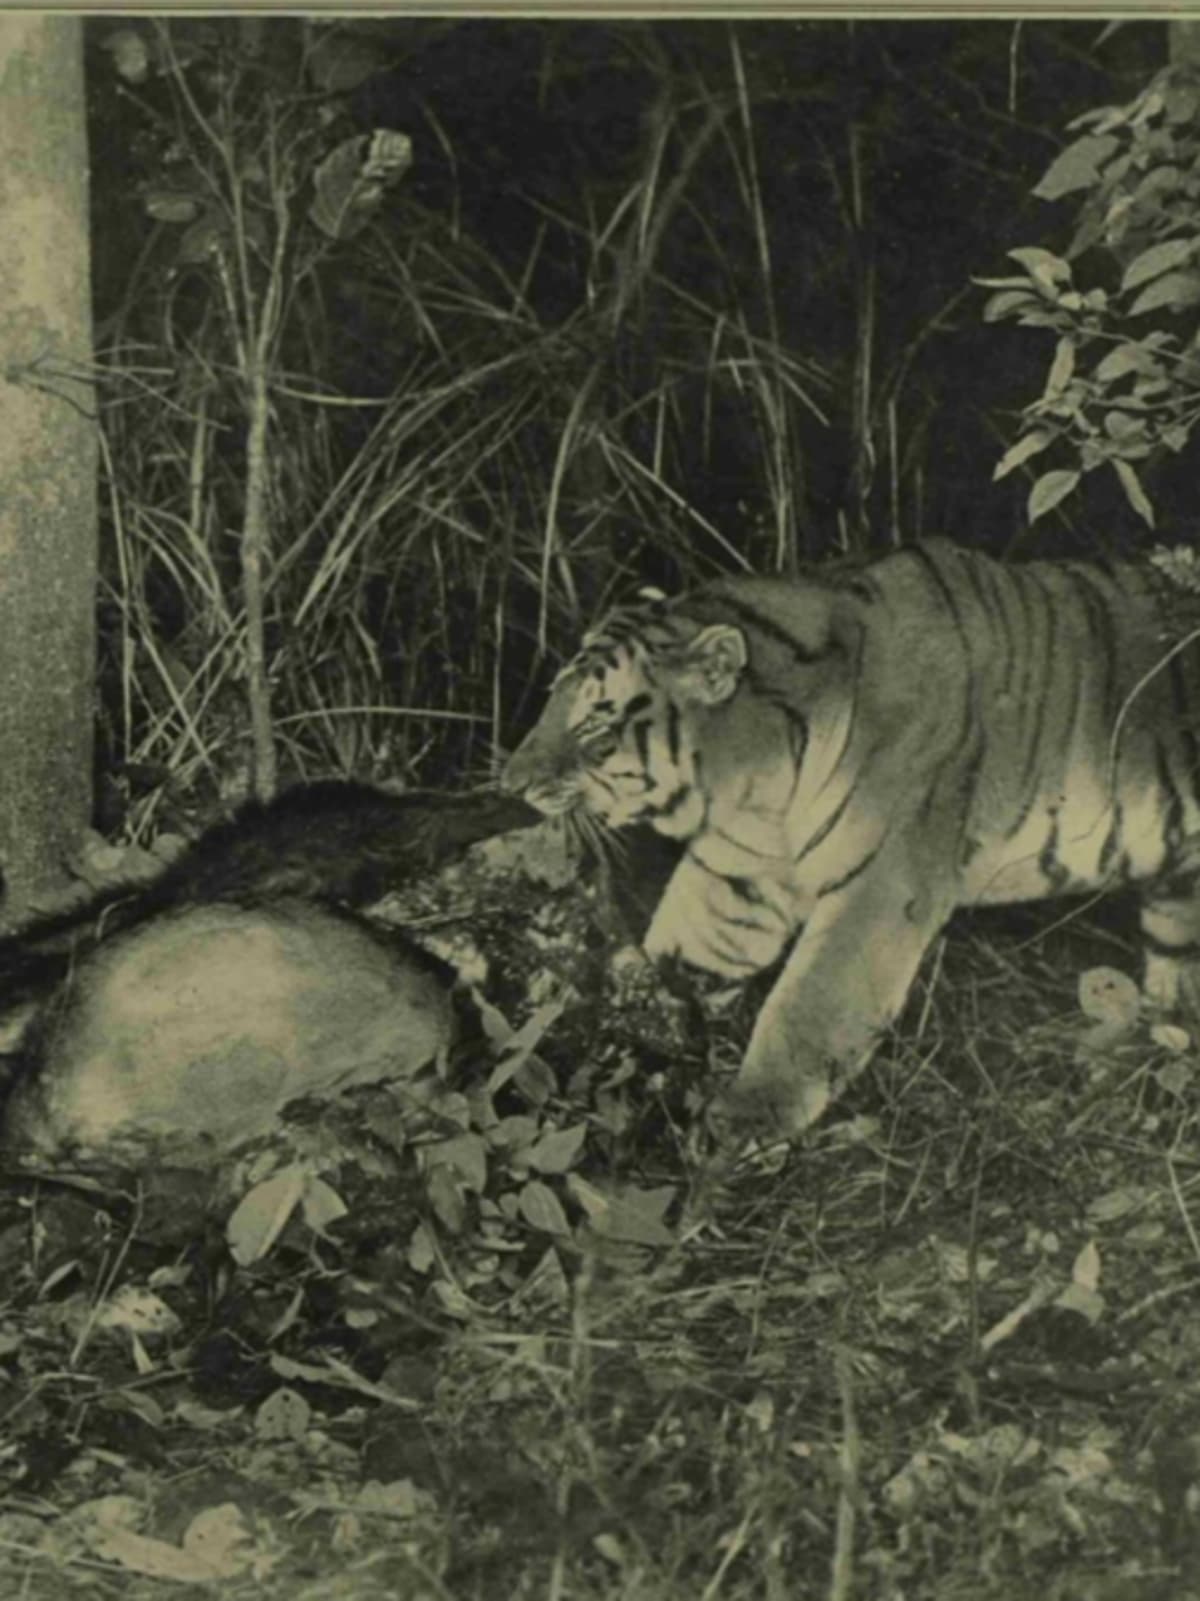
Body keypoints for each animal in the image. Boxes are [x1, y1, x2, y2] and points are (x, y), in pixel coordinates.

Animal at [500, 538, 1200, 1136]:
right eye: (554, 697)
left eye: (595, 721)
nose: (511, 781)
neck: (753, 786)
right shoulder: (738, 877)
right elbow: (680, 950)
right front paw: (623, 1037)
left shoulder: (881, 888)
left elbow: (807, 1007)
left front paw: (746, 1118)